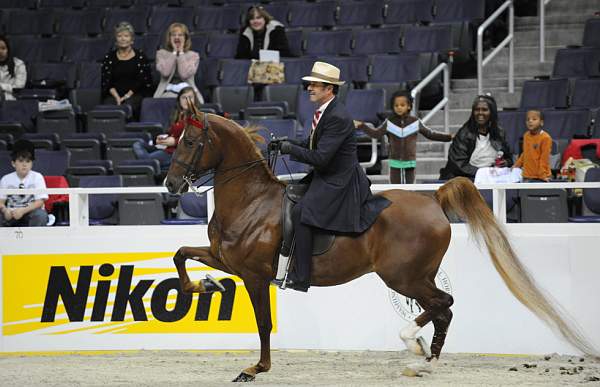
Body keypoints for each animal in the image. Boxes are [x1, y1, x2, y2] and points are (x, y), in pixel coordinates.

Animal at [165, 112, 596, 382]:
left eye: (191, 141)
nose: (170, 185)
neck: (251, 199)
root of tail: (433, 198)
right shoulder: (226, 259)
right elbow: (181, 254)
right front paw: (204, 286)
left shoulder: (254, 275)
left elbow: (263, 324)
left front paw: (255, 369)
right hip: (416, 277)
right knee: (442, 310)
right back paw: (425, 361)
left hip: (403, 277)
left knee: (444, 304)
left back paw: (414, 346)